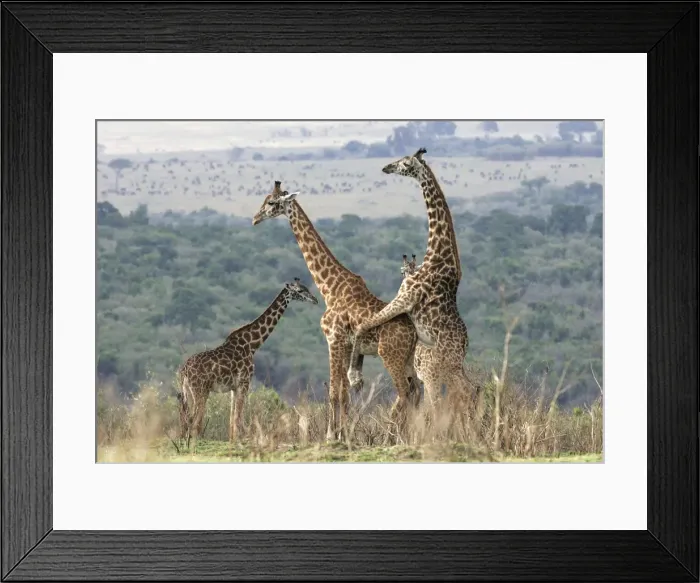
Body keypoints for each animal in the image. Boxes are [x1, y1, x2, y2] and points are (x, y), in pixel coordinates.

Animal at [177, 278, 319, 444]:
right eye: (300, 291)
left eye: (307, 287)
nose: (315, 300)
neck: (252, 344)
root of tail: (184, 371)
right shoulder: (245, 382)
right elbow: (238, 419)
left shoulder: (234, 387)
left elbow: (232, 420)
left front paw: (233, 442)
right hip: (200, 391)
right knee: (194, 420)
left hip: (188, 391)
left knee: (186, 419)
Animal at [252, 181, 420, 441]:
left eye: (271, 202)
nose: (255, 218)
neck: (329, 288)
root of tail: (413, 333)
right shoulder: (347, 345)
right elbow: (344, 393)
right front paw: (344, 434)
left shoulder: (333, 339)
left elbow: (333, 391)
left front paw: (331, 435)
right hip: (408, 358)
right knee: (415, 393)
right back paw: (410, 436)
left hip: (390, 355)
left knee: (404, 393)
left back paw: (393, 437)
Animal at [348, 148, 474, 413]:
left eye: (405, 163)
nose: (386, 167)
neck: (435, 254)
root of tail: (465, 344)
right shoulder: (402, 300)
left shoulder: (404, 297)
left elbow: (363, 325)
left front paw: (354, 376)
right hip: (450, 365)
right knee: (468, 390)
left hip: (442, 364)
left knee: (455, 394)